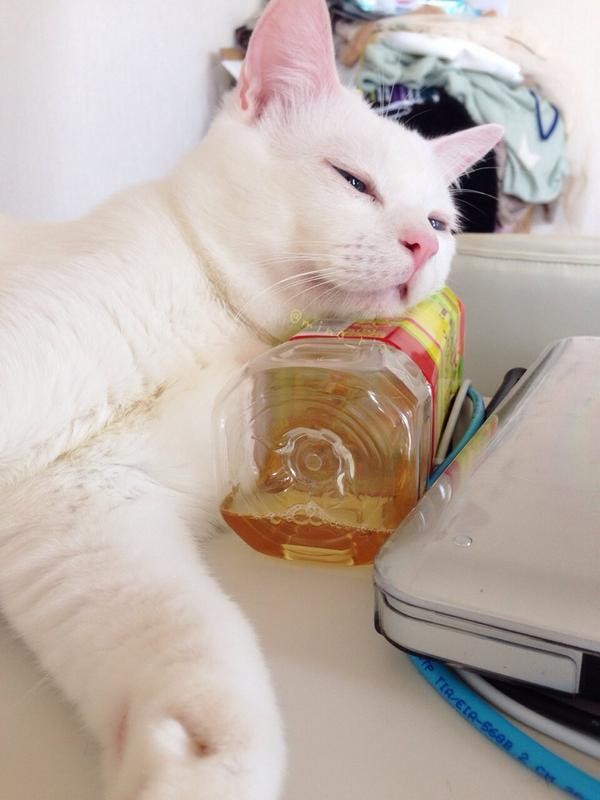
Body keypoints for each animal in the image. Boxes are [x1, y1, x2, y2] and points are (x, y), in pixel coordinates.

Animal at [0, 0, 502, 798]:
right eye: (353, 181)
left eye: (440, 224)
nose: (422, 247)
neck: (225, 322)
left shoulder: (87, 501)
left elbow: (196, 635)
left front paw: (202, 762)